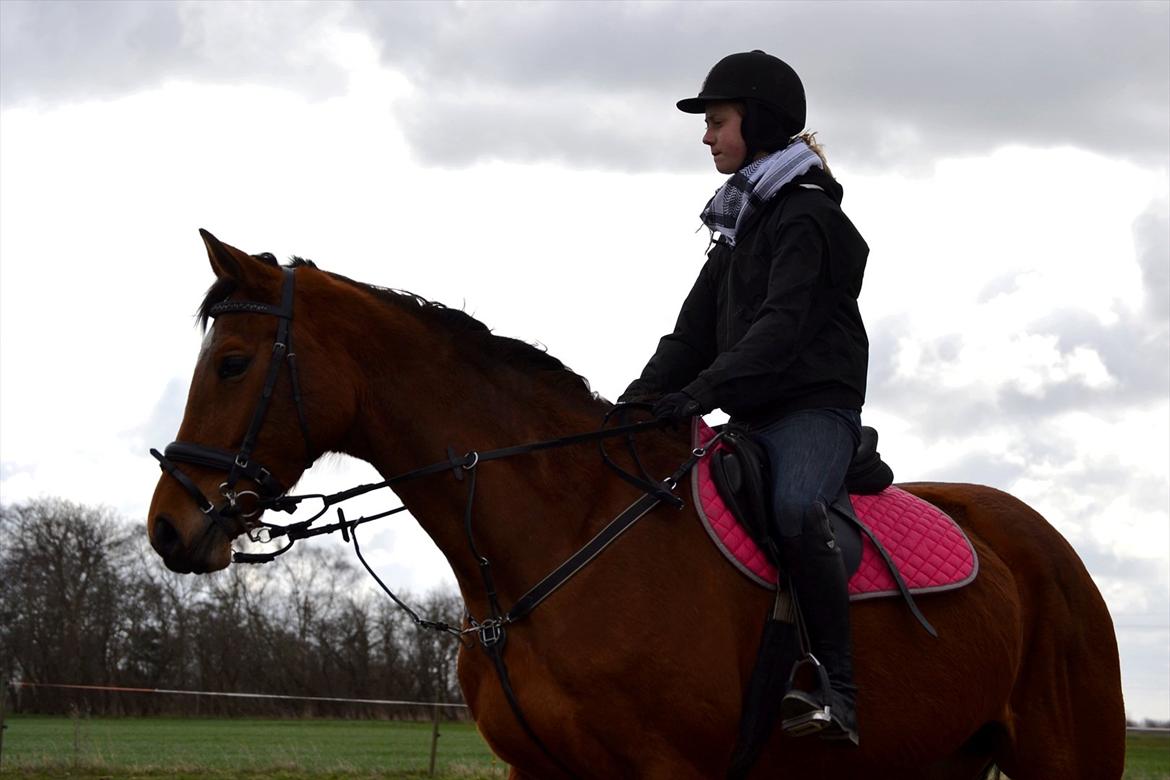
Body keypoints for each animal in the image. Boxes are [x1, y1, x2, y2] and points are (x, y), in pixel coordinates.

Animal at [146, 231, 1123, 780]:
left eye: (231, 362)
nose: (168, 526)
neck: (560, 534)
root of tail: (1049, 548)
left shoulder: (667, 768)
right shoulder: (537, 771)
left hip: (1066, 756)